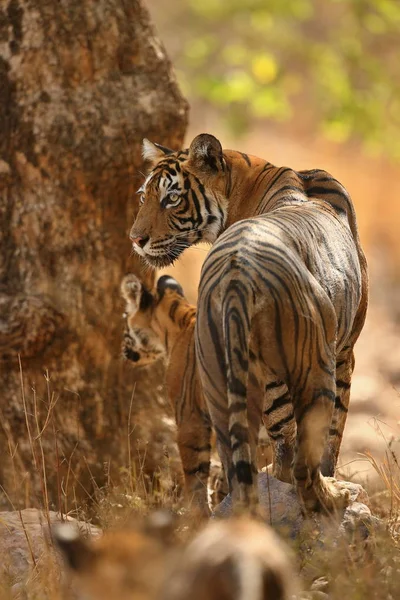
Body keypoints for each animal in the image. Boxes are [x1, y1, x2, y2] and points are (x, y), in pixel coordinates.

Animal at [130, 134, 368, 512]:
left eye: (171, 198)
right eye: (144, 196)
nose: (135, 239)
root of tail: (237, 270)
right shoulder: (345, 351)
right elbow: (335, 429)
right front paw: (332, 477)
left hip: (212, 378)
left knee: (233, 461)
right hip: (312, 364)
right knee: (299, 456)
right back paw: (328, 497)